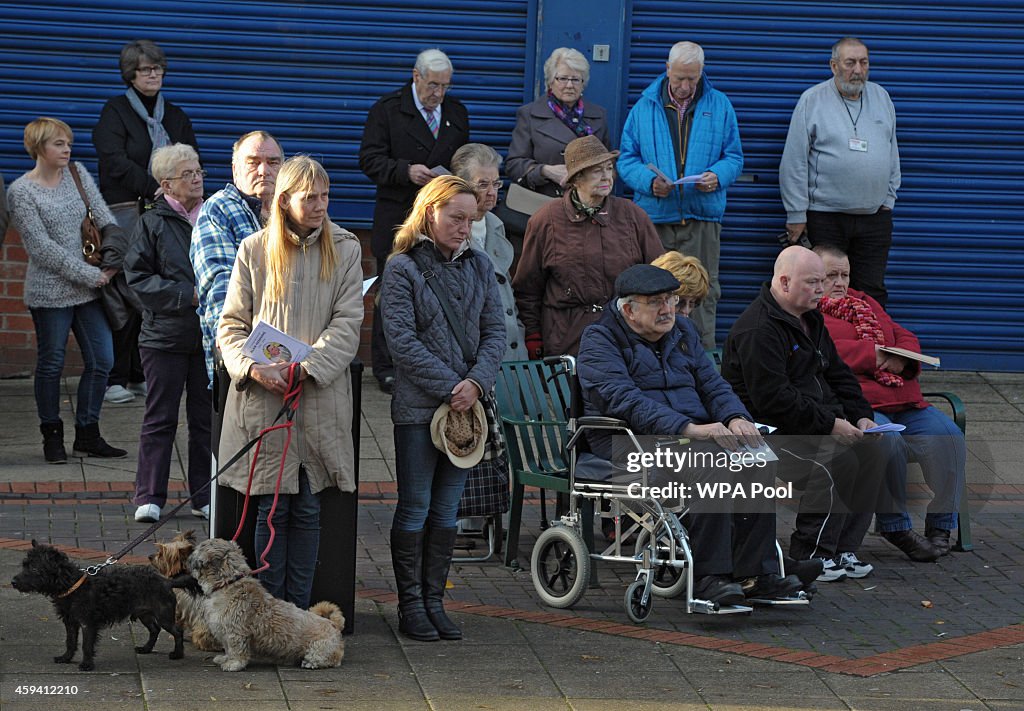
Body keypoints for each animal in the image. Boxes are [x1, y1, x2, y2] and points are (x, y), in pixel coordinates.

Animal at [11, 545, 184, 672]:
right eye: (24, 565)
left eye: (34, 569)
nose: (13, 582)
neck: (71, 584)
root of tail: (166, 581)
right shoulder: (70, 622)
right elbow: (70, 642)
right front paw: (66, 658)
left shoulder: (88, 623)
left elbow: (86, 645)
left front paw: (87, 664)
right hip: (144, 614)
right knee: (154, 629)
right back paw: (146, 648)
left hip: (163, 615)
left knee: (177, 631)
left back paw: (178, 654)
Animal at [184, 540, 344, 672]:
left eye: (198, 549)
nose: (188, 557)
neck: (228, 583)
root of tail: (334, 624)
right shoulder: (224, 633)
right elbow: (228, 649)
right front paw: (225, 658)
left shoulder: (235, 633)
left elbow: (236, 651)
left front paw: (233, 664)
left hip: (319, 648)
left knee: (327, 660)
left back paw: (310, 663)